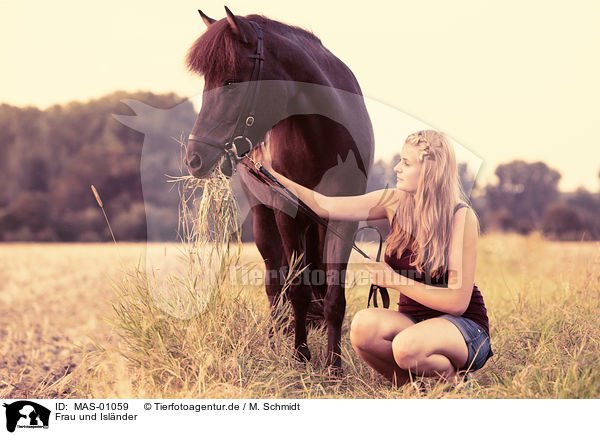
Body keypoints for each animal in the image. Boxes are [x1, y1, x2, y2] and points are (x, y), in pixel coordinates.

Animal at [185, 6, 372, 372]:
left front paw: (334, 368)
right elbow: (294, 289)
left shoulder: (344, 219)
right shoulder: (289, 215)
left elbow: (334, 296)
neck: (322, 136)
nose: (194, 158)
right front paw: (300, 358)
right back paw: (275, 340)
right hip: (264, 220)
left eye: (230, 82)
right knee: (275, 286)